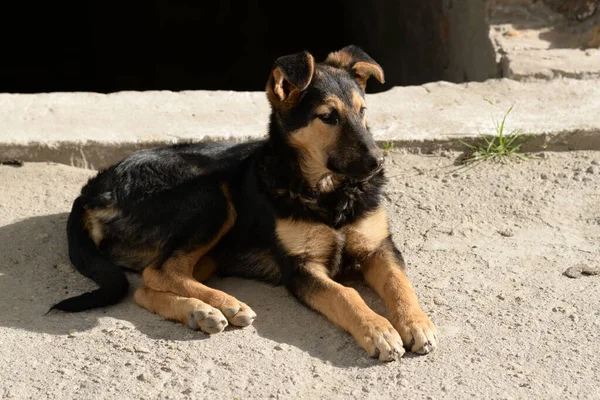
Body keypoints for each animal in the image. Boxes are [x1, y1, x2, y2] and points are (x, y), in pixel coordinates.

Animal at [51, 45, 436, 360]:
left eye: (363, 111)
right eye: (329, 117)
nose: (378, 163)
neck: (329, 192)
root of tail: (93, 189)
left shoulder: (380, 247)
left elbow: (399, 284)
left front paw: (416, 323)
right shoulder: (300, 268)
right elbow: (345, 295)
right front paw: (379, 330)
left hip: (210, 251)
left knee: (148, 286)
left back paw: (200, 312)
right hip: (211, 198)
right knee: (158, 271)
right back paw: (225, 304)